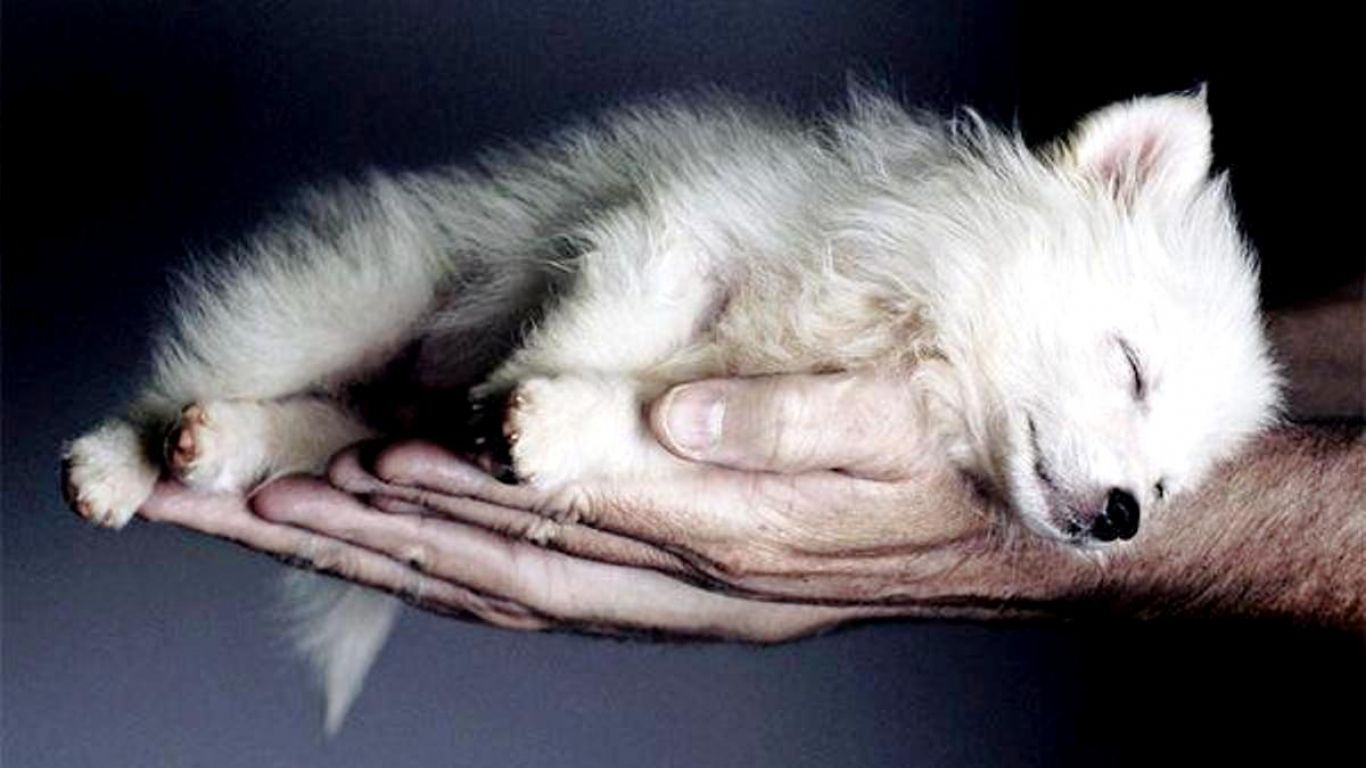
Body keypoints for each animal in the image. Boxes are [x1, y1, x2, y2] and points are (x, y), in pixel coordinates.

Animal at [61, 88, 1280, 729]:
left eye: (1168, 484)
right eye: (1131, 368)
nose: (1125, 515)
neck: (912, 342)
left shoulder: (739, 433)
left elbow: (646, 426)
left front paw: (544, 430)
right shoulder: (679, 233)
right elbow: (616, 319)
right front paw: (519, 394)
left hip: (355, 403)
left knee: (317, 429)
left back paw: (229, 447)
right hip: (355, 294)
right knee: (208, 376)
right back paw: (130, 458)